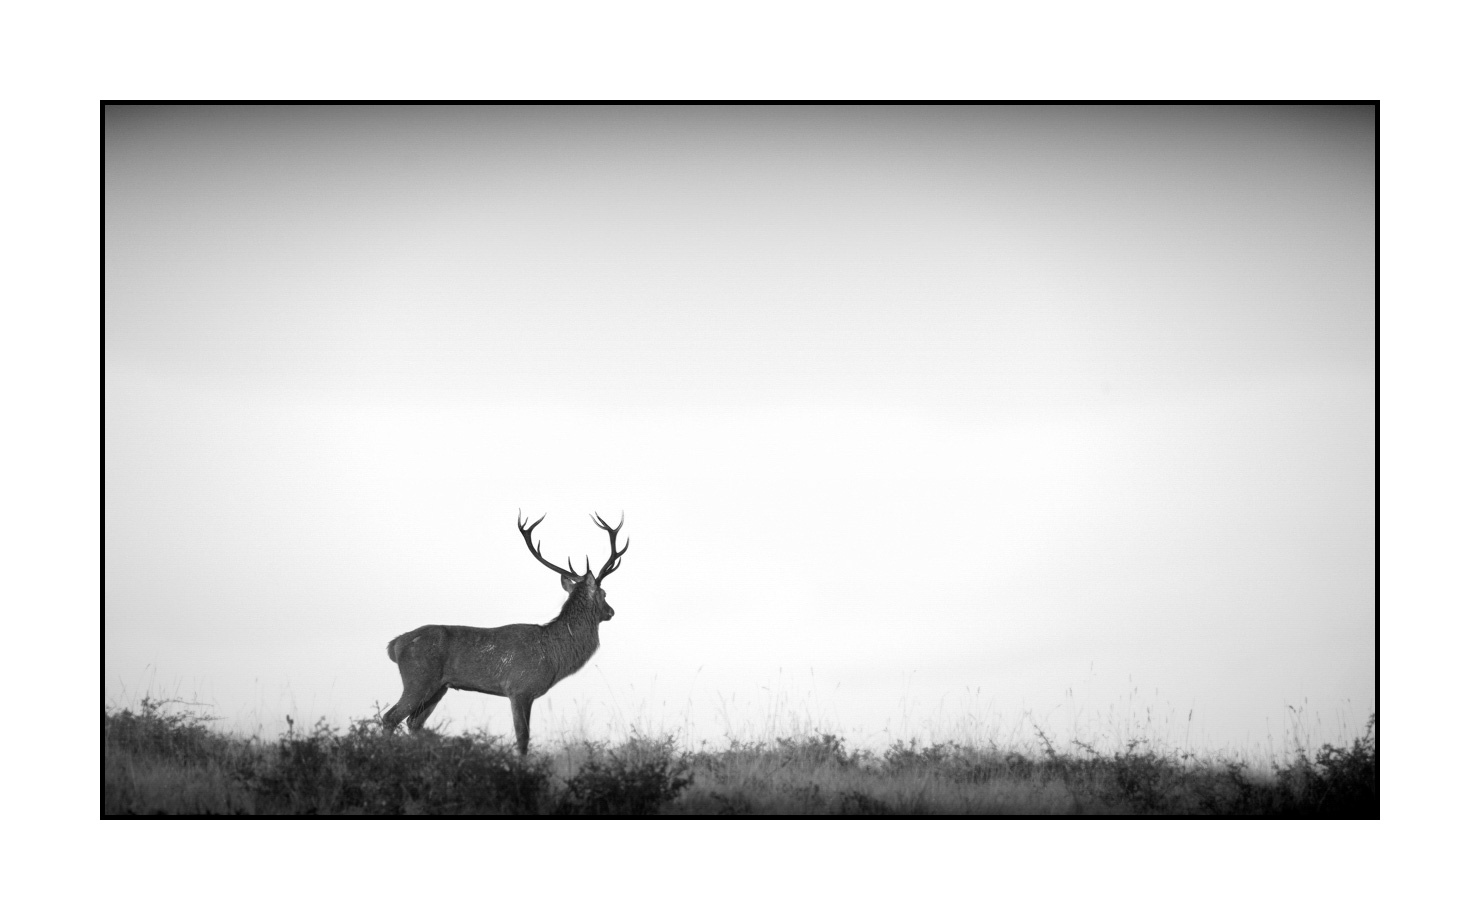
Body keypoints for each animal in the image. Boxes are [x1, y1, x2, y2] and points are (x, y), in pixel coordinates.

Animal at [382, 511, 629, 754]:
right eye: (604, 593)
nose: (611, 611)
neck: (554, 654)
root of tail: (394, 645)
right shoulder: (520, 688)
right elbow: (522, 740)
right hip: (418, 678)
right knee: (390, 717)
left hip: (439, 688)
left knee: (414, 723)